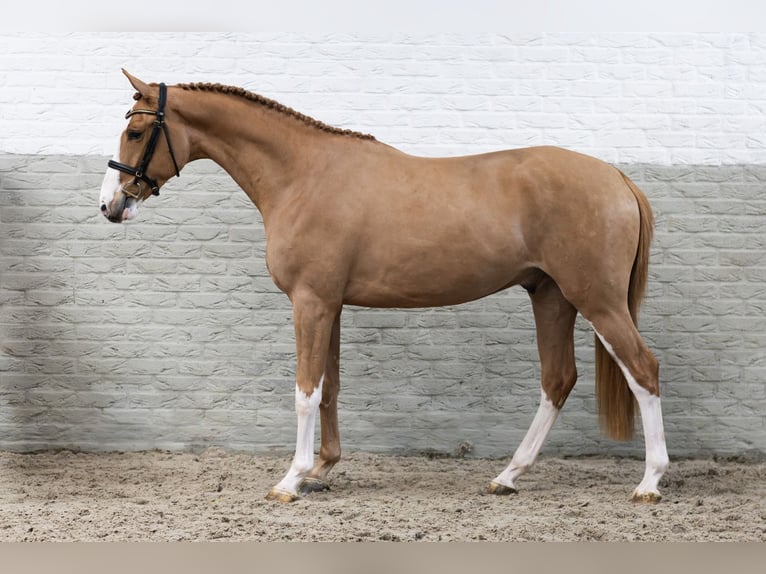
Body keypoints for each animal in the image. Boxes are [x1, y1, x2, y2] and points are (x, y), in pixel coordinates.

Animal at [100, 69, 669, 503]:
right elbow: (328, 387)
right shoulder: (329, 304)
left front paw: (290, 479)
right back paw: (507, 476)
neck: (302, 174)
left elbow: (305, 391)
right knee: (558, 380)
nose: (111, 205)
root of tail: (618, 178)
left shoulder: (310, 302)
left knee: (642, 370)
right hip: (551, 296)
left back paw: (649, 482)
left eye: (136, 132)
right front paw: (322, 469)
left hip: (596, 300)